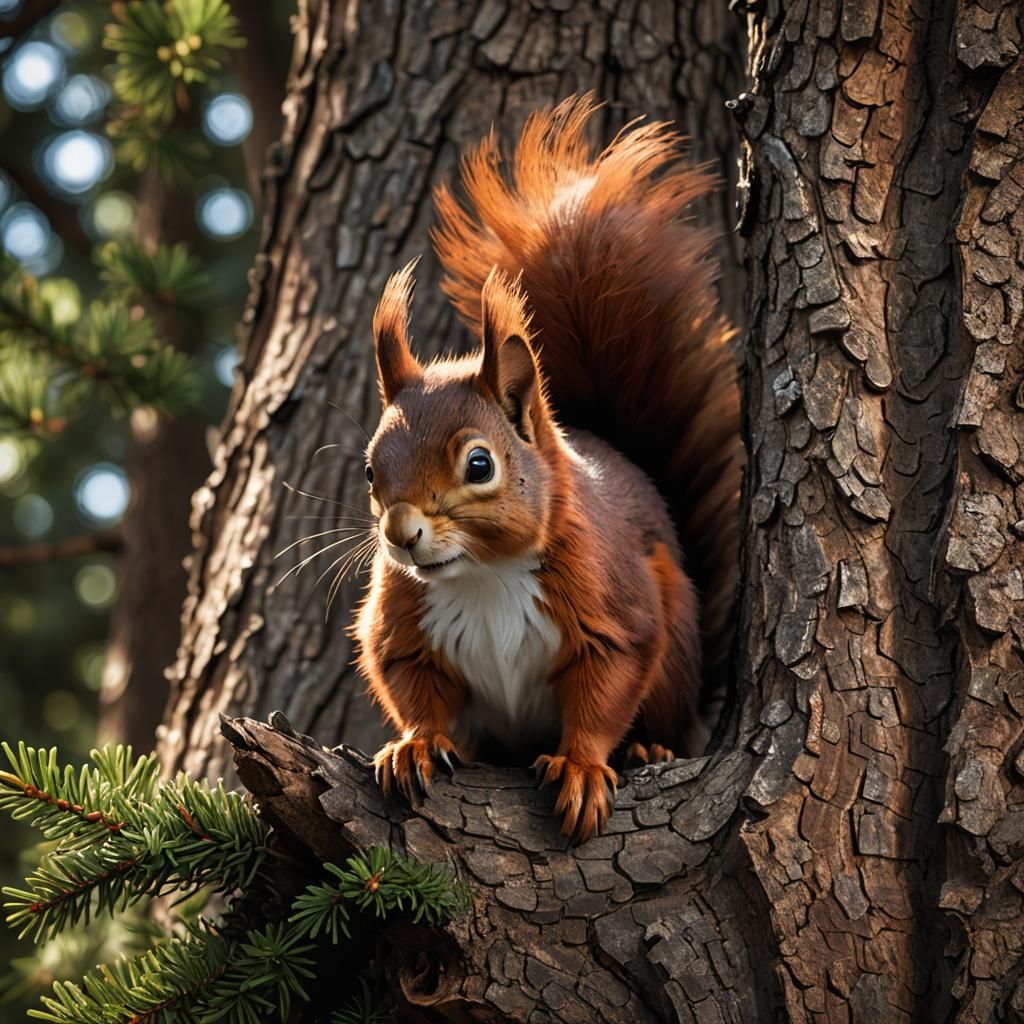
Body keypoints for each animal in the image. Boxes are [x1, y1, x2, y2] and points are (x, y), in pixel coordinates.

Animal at [354, 94, 741, 842]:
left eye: (479, 464)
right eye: (369, 470)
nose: (401, 535)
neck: (484, 575)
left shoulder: (612, 610)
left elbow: (604, 689)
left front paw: (584, 769)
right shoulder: (404, 624)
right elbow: (412, 684)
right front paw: (415, 744)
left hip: (676, 638)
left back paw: (650, 748)